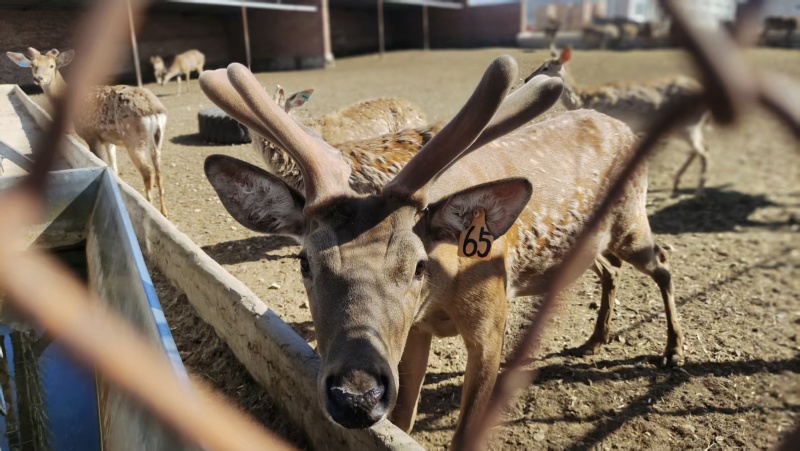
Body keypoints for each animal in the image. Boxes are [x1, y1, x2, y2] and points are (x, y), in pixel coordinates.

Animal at [7, 47, 168, 216]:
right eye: (33, 65)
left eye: (52, 65)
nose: (38, 78)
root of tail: (155, 110)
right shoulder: (108, 139)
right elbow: (114, 169)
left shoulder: (90, 135)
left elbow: (104, 164)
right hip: (156, 140)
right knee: (159, 172)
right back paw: (164, 212)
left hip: (134, 139)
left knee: (148, 172)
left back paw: (151, 208)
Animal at [200, 55, 684, 449]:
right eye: (305, 262)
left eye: (418, 265)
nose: (355, 396)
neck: (445, 290)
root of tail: (623, 126)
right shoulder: (416, 331)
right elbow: (403, 419)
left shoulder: (492, 319)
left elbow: (465, 432)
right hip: (590, 241)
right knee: (609, 270)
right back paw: (595, 338)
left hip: (632, 221)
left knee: (662, 263)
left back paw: (673, 351)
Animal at [526, 46, 712, 198]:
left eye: (545, 67)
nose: (526, 79)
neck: (584, 100)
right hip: (680, 126)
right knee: (699, 149)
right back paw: (676, 184)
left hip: (687, 123)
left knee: (703, 152)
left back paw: (699, 192)